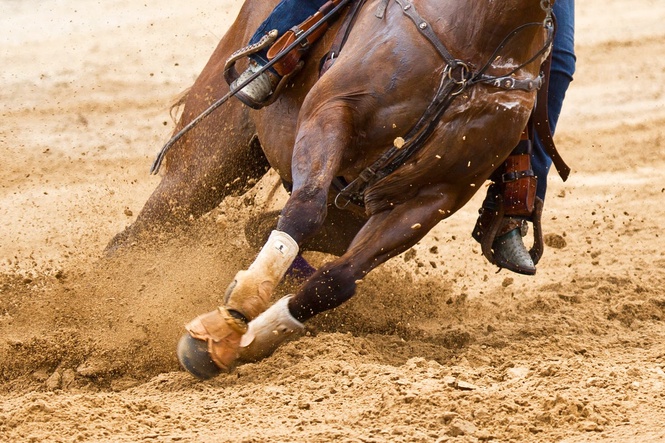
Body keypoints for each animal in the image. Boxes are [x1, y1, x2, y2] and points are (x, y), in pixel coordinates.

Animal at [108, 0, 556, 379]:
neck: (476, 36)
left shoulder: (432, 197)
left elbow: (336, 280)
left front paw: (238, 340)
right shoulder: (332, 111)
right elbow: (305, 210)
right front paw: (236, 311)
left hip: (343, 216)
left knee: (259, 228)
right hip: (206, 166)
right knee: (138, 236)